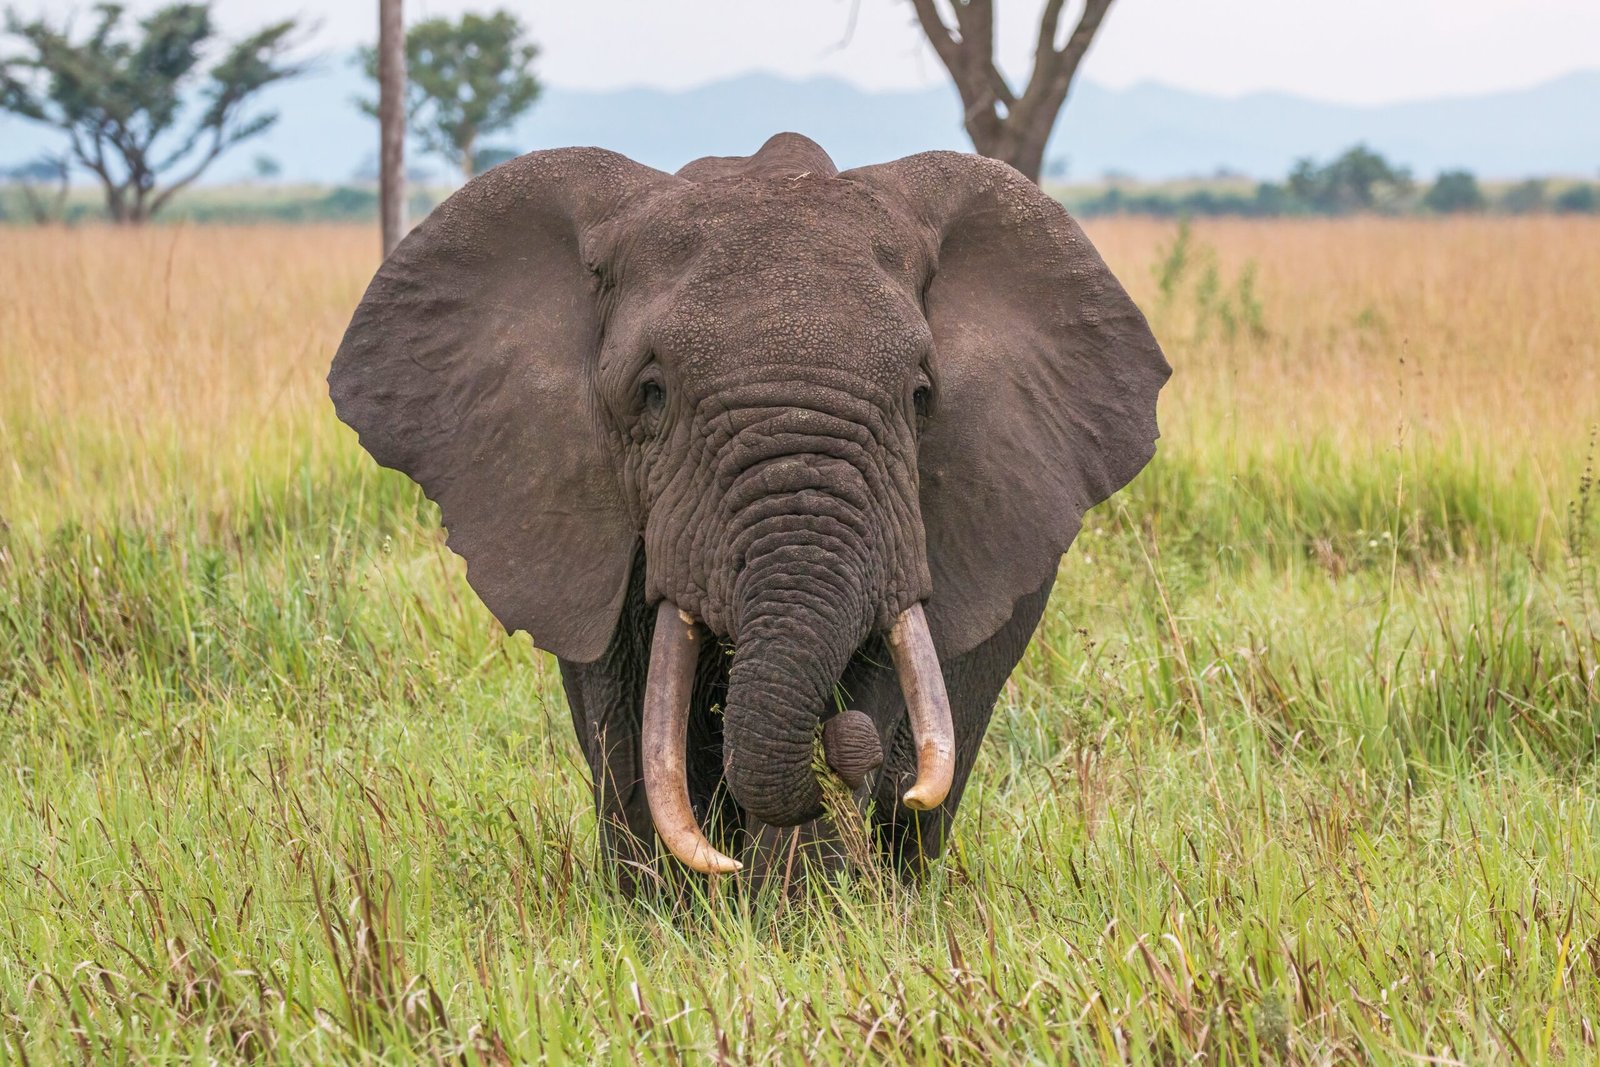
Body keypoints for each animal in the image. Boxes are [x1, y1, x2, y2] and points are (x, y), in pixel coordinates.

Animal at [328, 132, 1169, 891]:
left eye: (921, 395)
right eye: (652, 393)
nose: (841, 745)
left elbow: (877, 666)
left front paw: (797, 916)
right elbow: (623, 706)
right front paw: (665, 913)